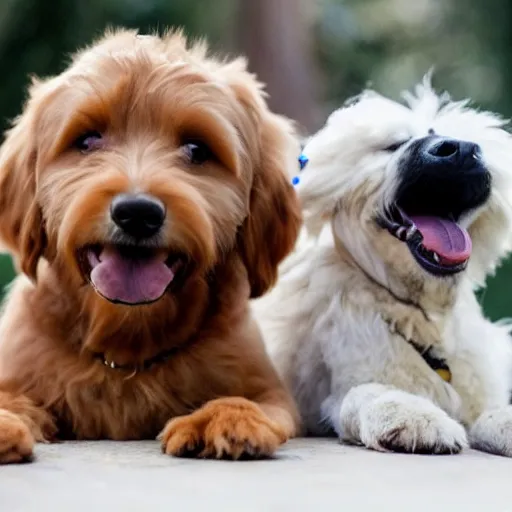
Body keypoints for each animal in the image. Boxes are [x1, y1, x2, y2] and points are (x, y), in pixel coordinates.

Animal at [255, 78, 512, 454]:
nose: (462, 151)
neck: (417, 314)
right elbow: (366, 393)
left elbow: (493, 413)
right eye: (394, 146)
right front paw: (411, 417)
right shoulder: (345, 383)